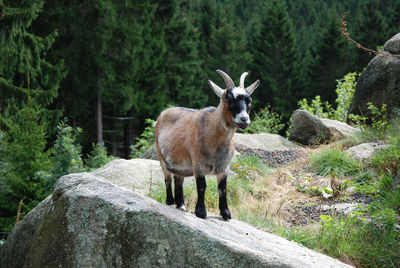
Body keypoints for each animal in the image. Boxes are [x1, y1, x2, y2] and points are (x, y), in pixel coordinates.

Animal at [153, 69, 260, 220]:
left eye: (249, 100)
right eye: (229, 98)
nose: (244, 119)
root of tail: (163, 113)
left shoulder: (224, 167)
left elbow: (222, 188)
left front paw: (226, 213)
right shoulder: (198, 164)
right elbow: (202, 186)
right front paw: (201, 212)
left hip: (179, 163)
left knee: (179, 180)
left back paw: (181, 205)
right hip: (161, 156)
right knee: (167, 178)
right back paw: (170, 201)